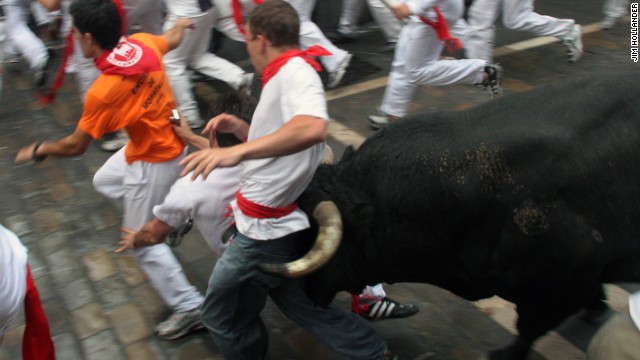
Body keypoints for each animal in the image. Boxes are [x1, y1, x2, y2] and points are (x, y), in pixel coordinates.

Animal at [262, 71, 636, 358]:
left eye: (310, 236)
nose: (306, 291)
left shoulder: (558, 286)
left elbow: (528, 329)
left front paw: (504, 354)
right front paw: (599, 305)